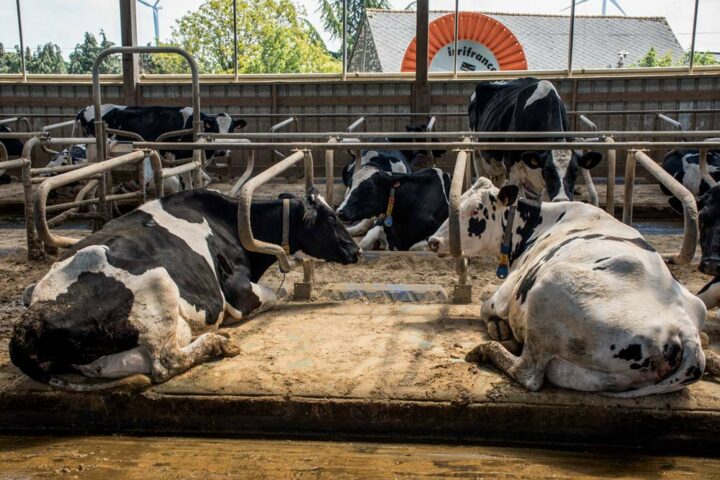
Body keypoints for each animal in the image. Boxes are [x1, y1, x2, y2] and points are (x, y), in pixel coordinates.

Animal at [11, 188, 360, 390]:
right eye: (330, 218)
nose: (355, 250)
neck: (230, 223)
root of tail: (30, 323)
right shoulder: (238, 291)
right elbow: (275, 294)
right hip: (159, 281)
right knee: (165, 362)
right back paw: (218, 342)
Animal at [75, 106, 245, 162]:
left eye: (231, 130)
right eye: (214, 128)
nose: (222, 151)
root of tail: (86, 109)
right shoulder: (177, 156)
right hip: (93, 150)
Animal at [428, 178, 704, 396]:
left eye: (476, 210)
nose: (433, 241)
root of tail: (684, 329)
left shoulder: (506, 293)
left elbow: (485, 307)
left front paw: (497, 325)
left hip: (549, 286)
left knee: (528, 373)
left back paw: (486, 350)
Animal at [466, 76, 600, 202]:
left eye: (575, 172)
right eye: (548, 171)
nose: (561, 199)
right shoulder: (513, 169)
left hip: (497, 167)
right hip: (478, 154)